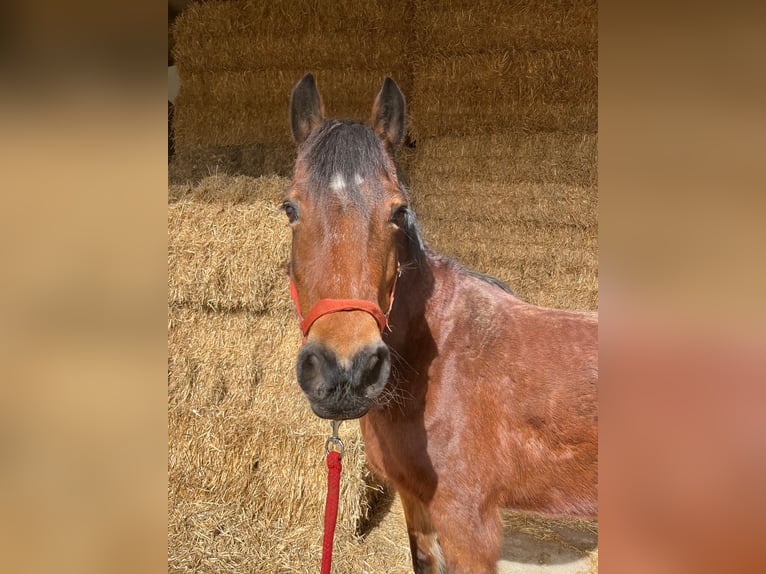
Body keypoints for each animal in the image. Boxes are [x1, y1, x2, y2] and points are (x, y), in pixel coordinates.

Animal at [284, 73, 598, 573]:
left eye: (398, 212)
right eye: (290, 209)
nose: (345, 371)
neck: (440, 360)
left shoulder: (468, 526)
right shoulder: (417, 505)